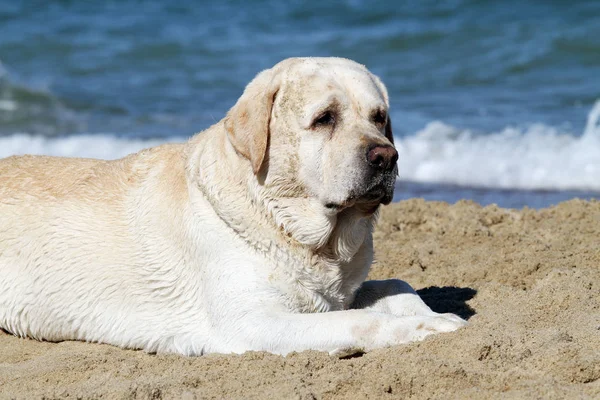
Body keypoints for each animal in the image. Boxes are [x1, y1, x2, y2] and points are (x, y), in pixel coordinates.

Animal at [0, 57, 464, 354]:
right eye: (324, 118)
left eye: (379, 117)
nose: (387, 156)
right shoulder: (252, 323)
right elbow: (360, 321)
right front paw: (428, 326)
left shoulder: (336, 293)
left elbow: (396, 285)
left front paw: (434, 314)